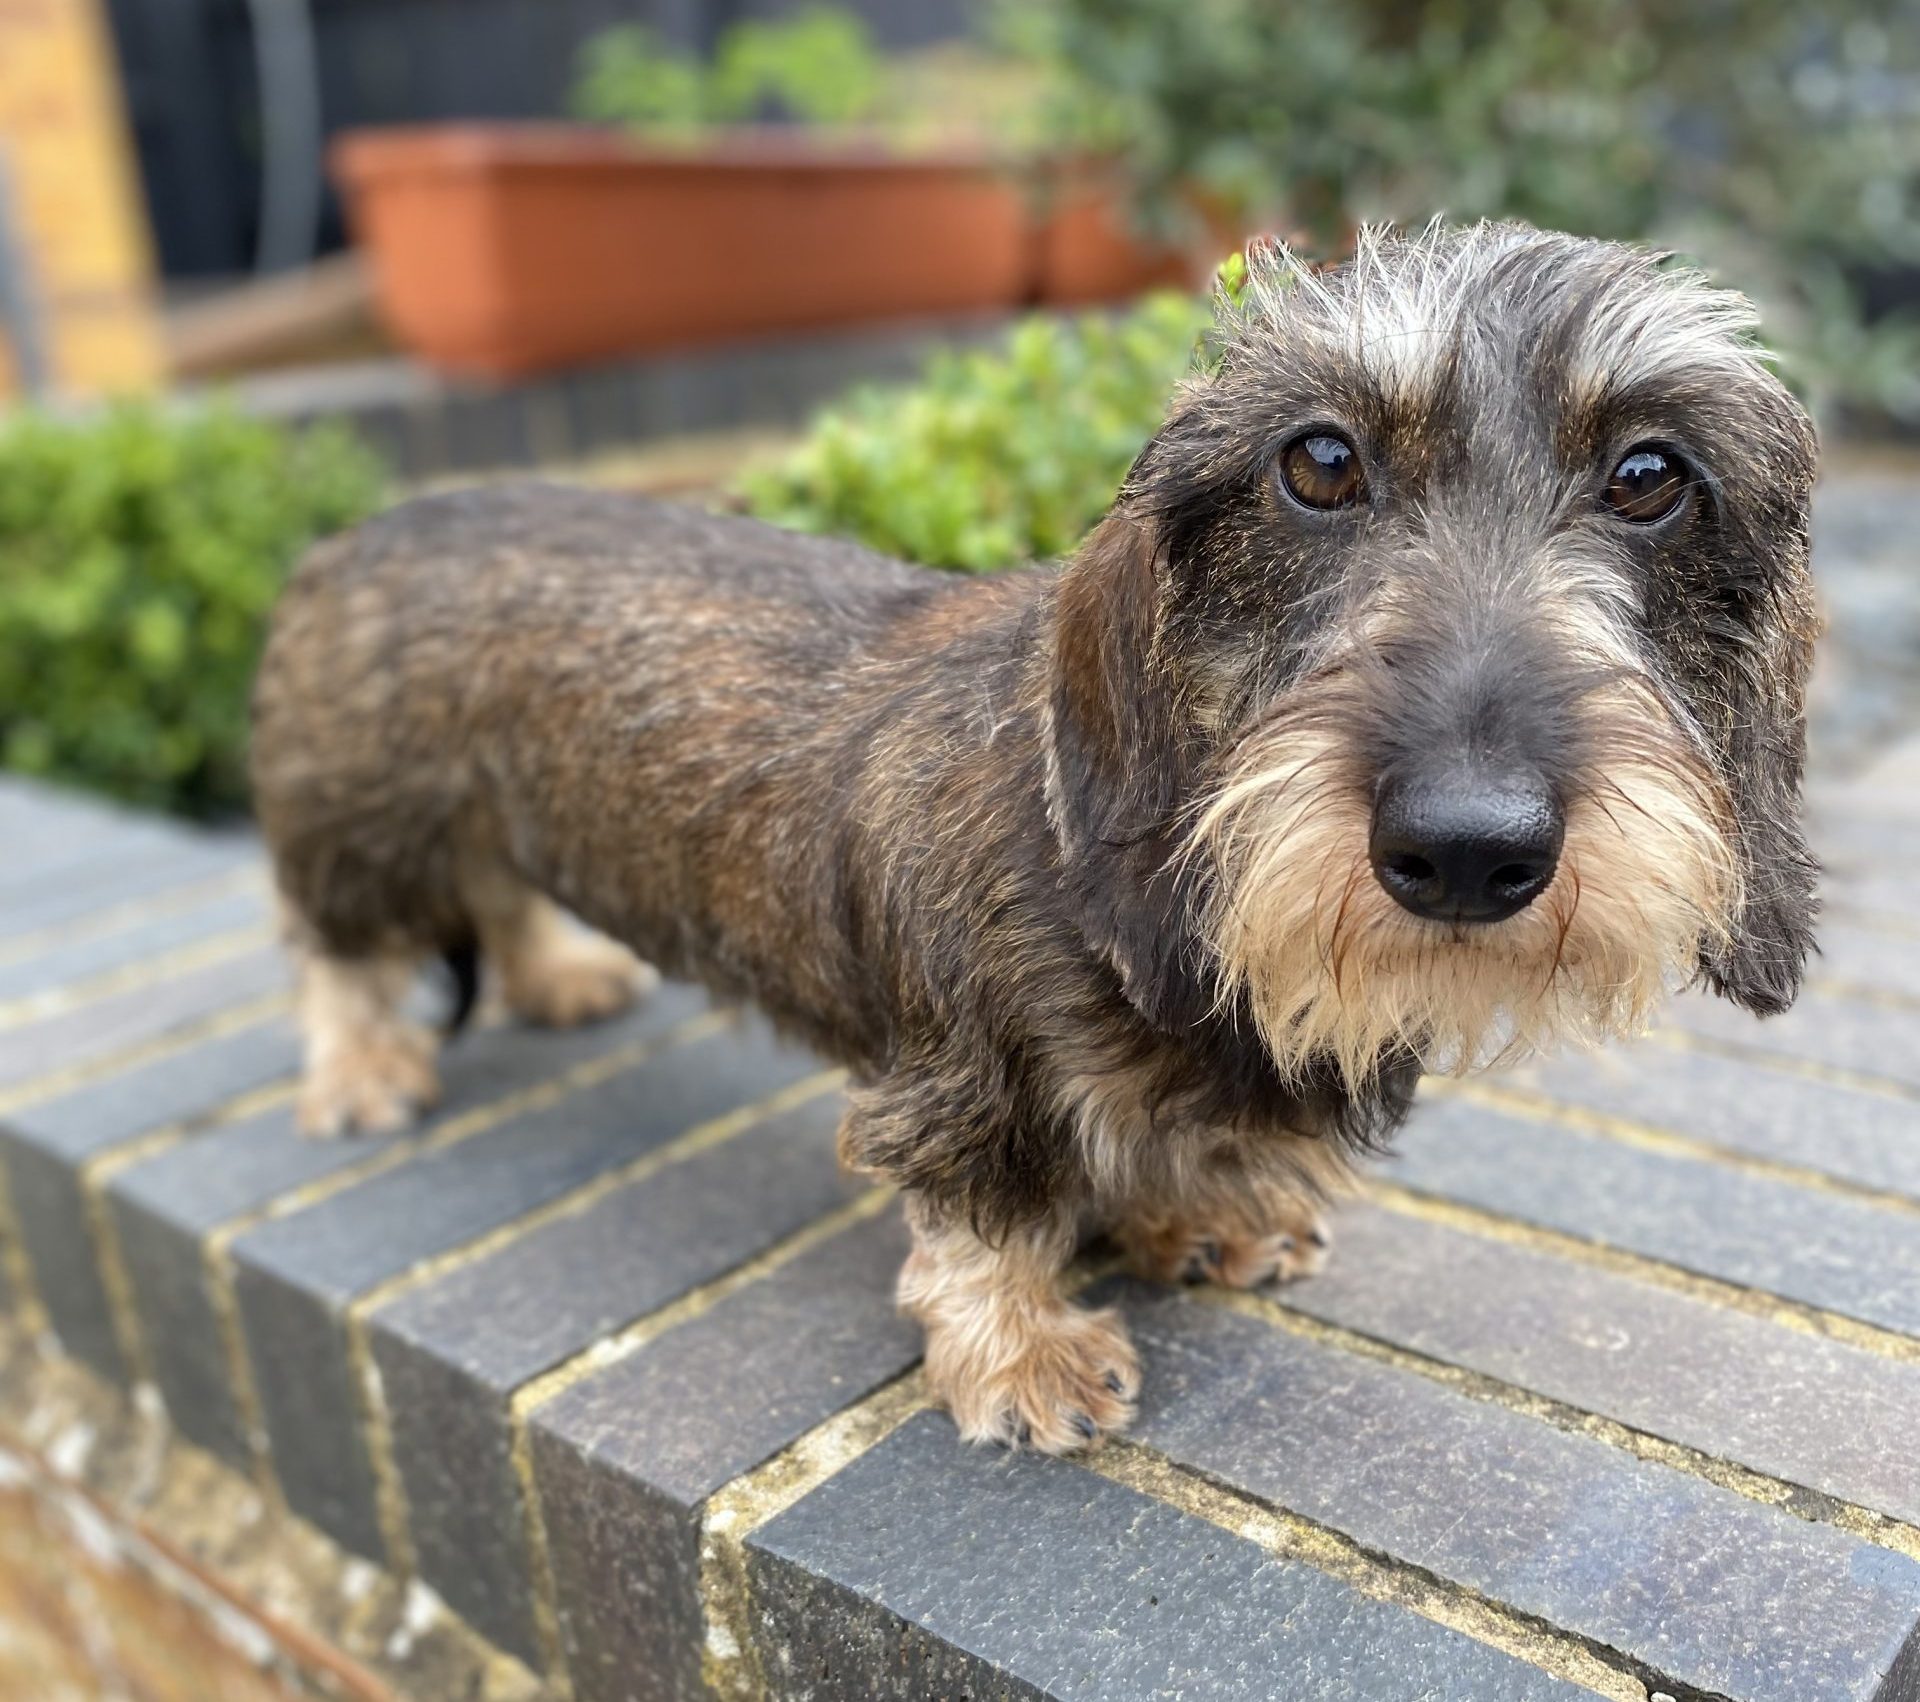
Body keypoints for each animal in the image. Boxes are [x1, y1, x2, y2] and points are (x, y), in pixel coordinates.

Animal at [251, 219, 1812, 1459]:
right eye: (1318, 460)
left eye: (1651, 477)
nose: (1470, 846)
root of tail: (352, 534)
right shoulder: (962, 1081)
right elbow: (983, 1219)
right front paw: (1024, 1355)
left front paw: (1208, 1208)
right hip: (362, 824)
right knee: (337, 953)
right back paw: (360, 1071)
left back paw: (555, 973)